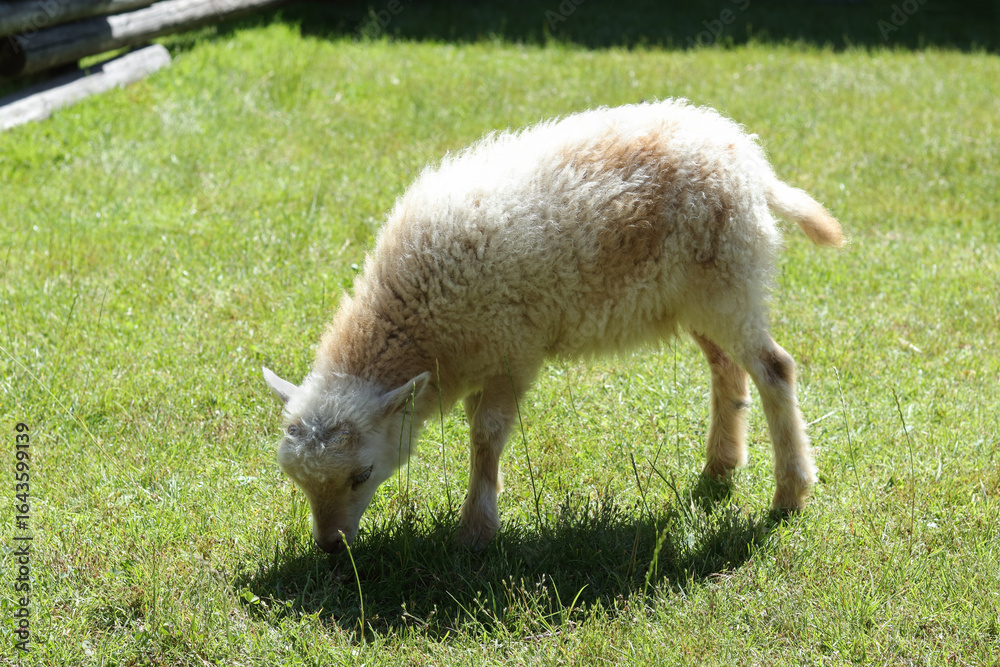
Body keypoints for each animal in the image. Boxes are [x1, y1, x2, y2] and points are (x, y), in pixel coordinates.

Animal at [263, 98, 844, 553]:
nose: (331, 547)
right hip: (694, 295)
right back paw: (721, 466)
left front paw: (476, 529)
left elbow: (486, 434)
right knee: (726, 366)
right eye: (298, 480)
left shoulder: (512, 350)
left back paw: (790, 492)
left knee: (774, 369)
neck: (416, 320)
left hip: (729, 281)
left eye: (361, 475)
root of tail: (749, 162)